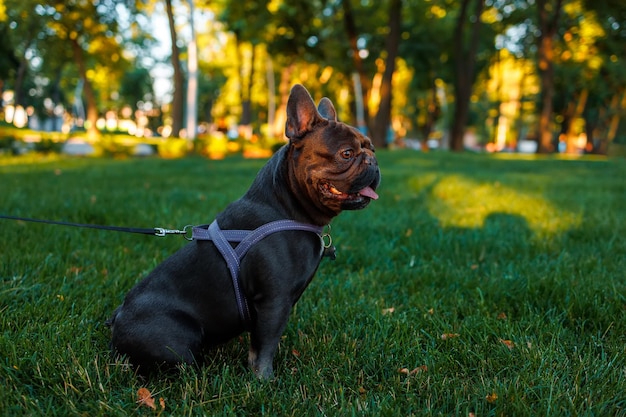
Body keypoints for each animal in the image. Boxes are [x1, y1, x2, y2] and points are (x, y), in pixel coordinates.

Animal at [109, 83, 378, 376]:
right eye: (347, 153)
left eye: (372, 148)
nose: (373, 161)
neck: (286, 207)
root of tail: (117, 319)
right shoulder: (274, 301)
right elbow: (264, 347)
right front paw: (264, 379)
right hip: (178, 338)